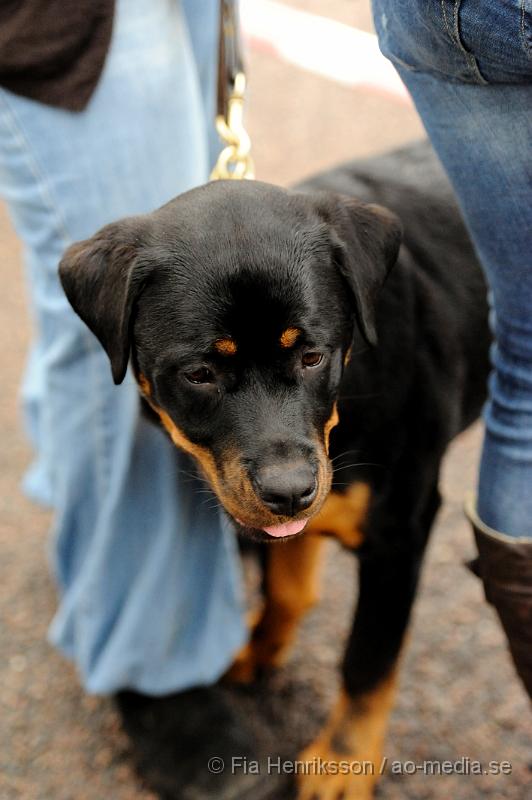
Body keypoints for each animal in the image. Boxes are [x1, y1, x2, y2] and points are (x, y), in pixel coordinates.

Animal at [58, 144, 490, 800]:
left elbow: (367, 660)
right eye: (199, 373)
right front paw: (258, 648)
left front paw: (342, 763)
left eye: (312, 356)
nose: (289, 491)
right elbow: (287, 586)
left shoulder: (402, 527)